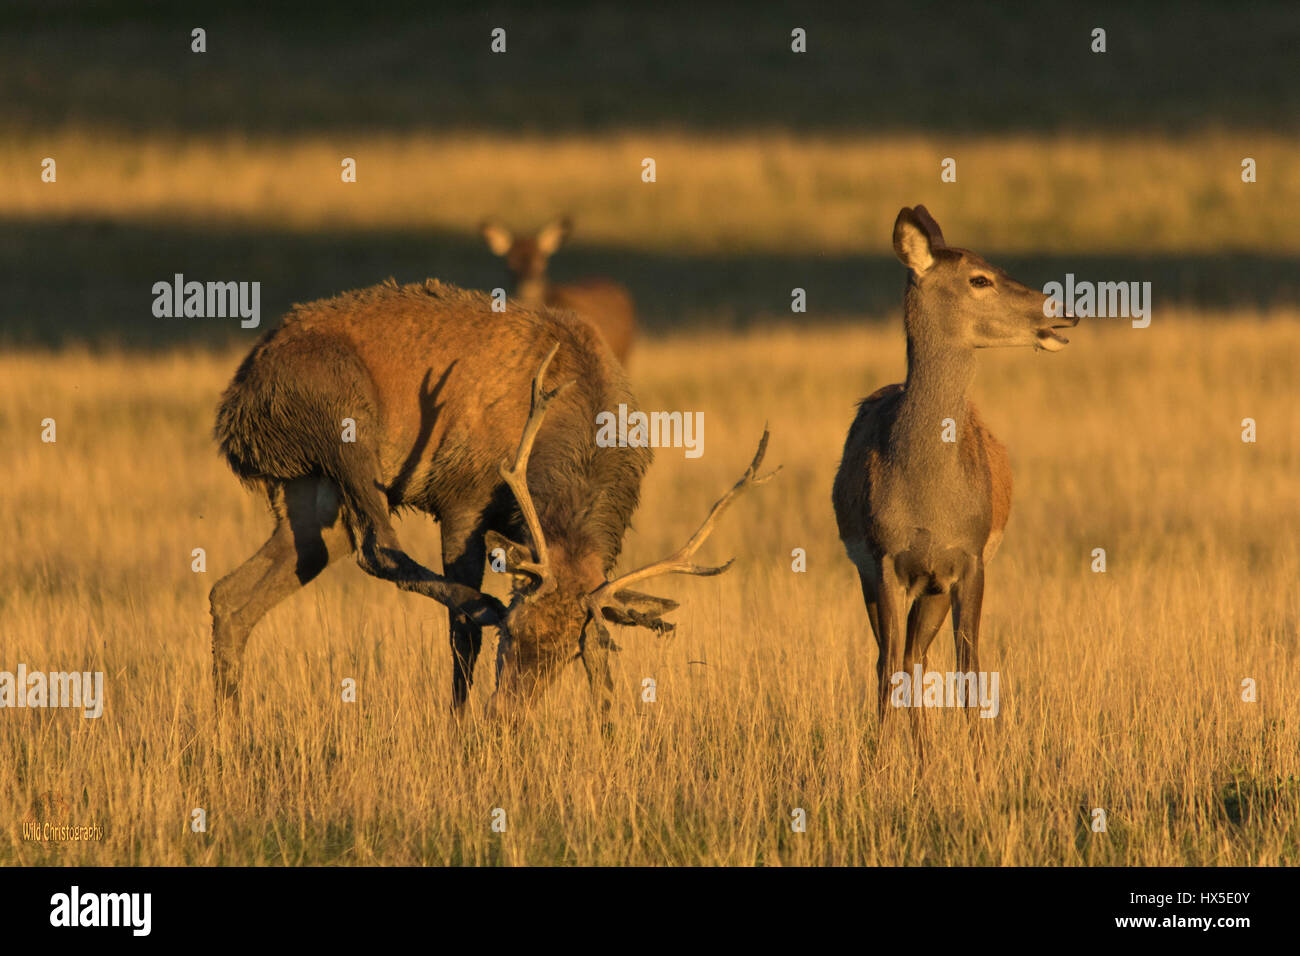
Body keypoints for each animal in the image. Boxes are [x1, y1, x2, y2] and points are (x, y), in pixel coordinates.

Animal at [208, 277, 764, 717]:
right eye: (513, 634)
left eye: (566, 655)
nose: (506, 717)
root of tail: (234, 402)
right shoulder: (462, 498)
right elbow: (461, 637)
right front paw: (458, 727)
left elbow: (602, 646)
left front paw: (610, 726)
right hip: (344, 421)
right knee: (376, 546)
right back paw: (482, 603)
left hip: (310, 492)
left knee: (233, 593)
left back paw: (229, 729)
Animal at [832, 205, 1076, 759]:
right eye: (979, 278)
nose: (1065, 310)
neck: (928, 500)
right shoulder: (883, 558)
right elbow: (888, 668)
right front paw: (880, 762)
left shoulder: (969, 557)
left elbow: (970, 666)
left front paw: (980, 759)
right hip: (876, 577)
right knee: (893, 658)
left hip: (935, 586)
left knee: (916, 655)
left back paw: (926, 756)